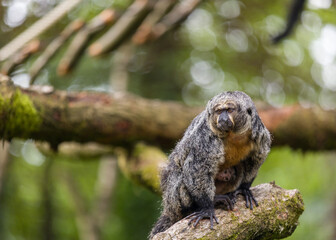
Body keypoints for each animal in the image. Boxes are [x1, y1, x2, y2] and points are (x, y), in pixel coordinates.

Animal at [150, 90, 270, 238]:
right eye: (219, 111)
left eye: (229, 110)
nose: (223, 118)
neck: (233, 135)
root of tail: (169, 207)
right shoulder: (205, 137)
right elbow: (197, 168)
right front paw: (207, 208)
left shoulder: (259, 133)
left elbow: (257, 158)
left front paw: (244, 189)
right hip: (173, 199)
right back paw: (206, 202)